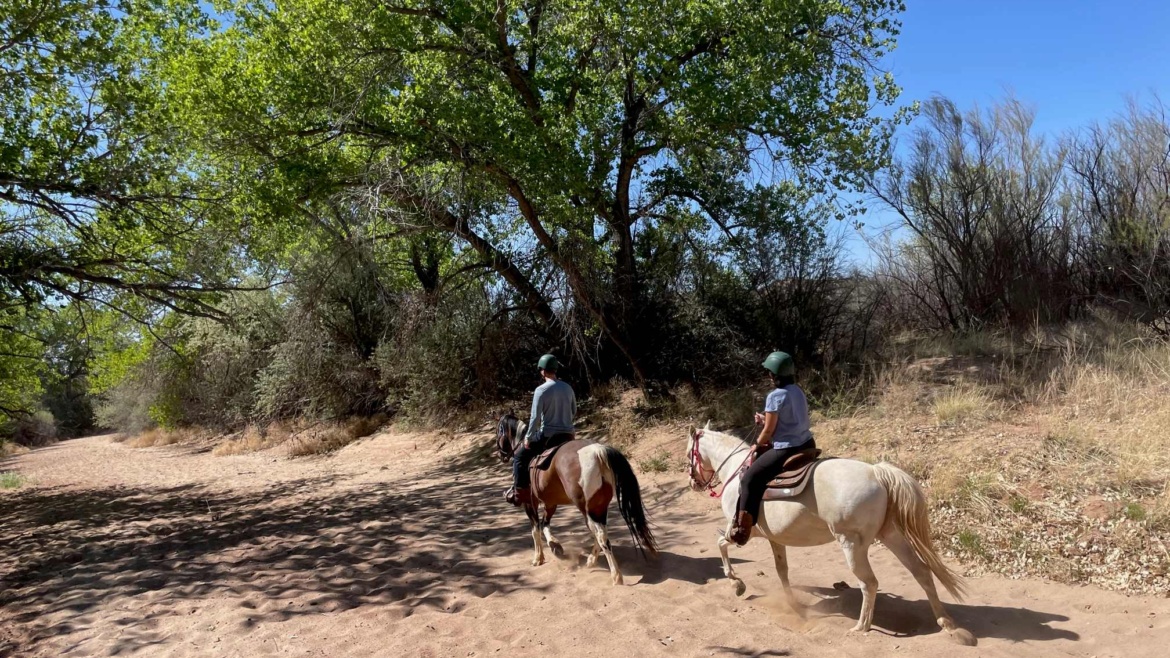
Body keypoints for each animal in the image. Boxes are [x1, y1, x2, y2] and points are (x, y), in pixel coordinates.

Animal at [493, 412, 659, 580]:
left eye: (498, 431)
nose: (500, 455)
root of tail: (597, 450)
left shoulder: (529, 502)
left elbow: (535, 530)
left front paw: (538, 558)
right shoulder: (550, 503)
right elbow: (544, 524)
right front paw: (555, 546)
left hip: (586, 508)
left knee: (600, 534)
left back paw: (615, 575)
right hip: (598, 507)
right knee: (600, 532)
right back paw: (592, 560)